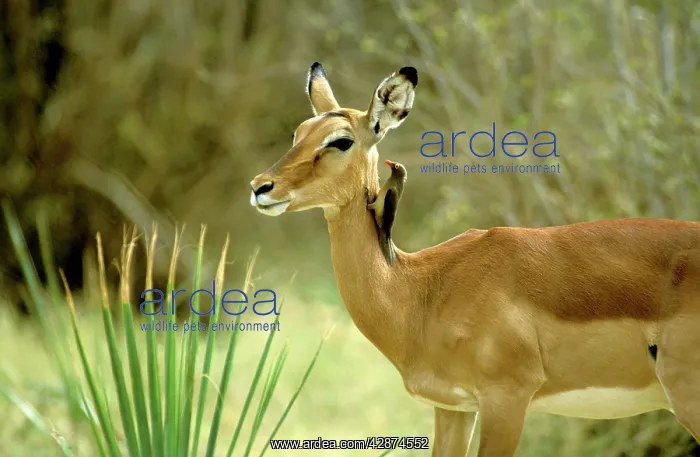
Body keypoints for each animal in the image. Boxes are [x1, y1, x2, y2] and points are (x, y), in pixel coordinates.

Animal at [249, 62, 700, 456]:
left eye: (341, 140)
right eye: (300, 132)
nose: (260, 187)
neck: (424, 292)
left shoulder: (506, 398)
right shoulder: (452, 407)